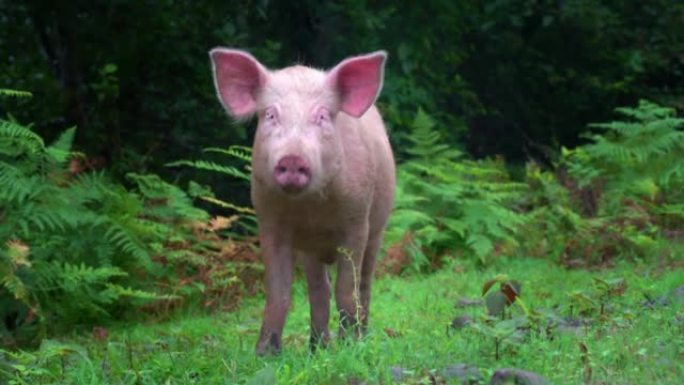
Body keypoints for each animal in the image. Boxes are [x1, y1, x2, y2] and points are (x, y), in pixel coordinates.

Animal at [211, 48, 398, 354]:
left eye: (322, 116)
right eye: (270, 114)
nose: (292, 158)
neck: (311, 209)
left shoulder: (357, 221)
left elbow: (347, 288)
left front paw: (350, 347)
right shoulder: (269, 221)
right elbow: (279, 291)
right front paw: (264, 354)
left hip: (378, 227)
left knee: (365, 283)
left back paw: (360, 336)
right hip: (311, 251)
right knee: (318, 288)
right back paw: (317, 348)